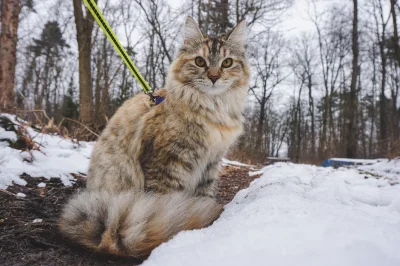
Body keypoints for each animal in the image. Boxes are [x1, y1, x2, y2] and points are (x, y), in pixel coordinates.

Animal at [58, 16, 250, 258]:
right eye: (199, 61)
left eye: (226, 63)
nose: (214, 77)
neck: (212, 110)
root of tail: (107, 234)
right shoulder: (167, 163)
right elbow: (165, 203)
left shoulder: (210, 163)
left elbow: (204, 194)